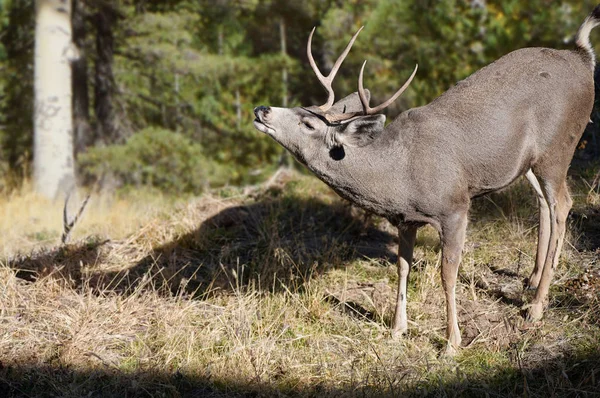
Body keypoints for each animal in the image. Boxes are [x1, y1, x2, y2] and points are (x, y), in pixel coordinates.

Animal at [253, 5, 600, 354]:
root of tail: (582, 56)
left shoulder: (456, 207)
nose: (261, 108)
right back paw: (531, 281)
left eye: (308, 123)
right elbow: (402, 266)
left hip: (559, 146)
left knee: (563, 205)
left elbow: (447, 273)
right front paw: (397, 329)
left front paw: (451, 342)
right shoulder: (405, 220)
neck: (398, 174)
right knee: (544, 203)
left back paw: (537, 307)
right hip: (529, 162)